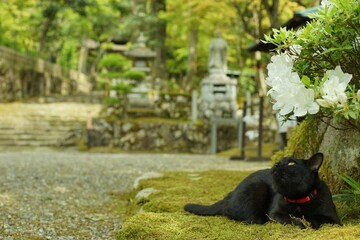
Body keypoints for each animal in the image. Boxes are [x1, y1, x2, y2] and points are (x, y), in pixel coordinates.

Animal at [186, 153, 340, 228]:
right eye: (279, 161)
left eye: (291, 163)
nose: (276, 164)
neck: (298, 200)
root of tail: (229, 195)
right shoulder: (274, 213)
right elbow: (288, 219)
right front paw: (300, 222)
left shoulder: (334, 219)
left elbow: (317, 217)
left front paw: (308, 220)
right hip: (258, 187)